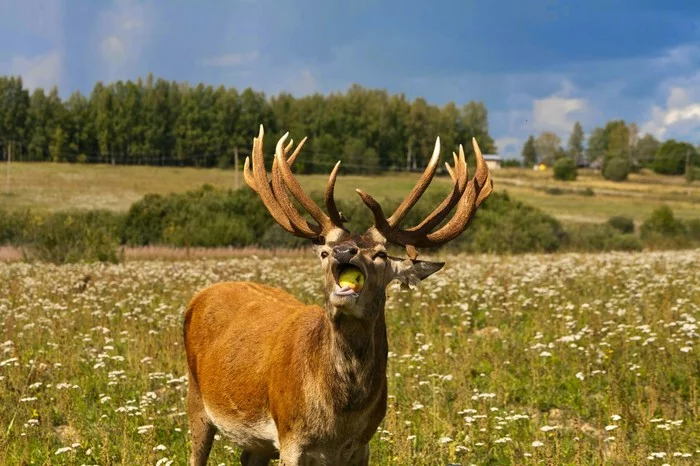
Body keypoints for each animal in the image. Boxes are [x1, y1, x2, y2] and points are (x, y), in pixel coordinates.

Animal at [183, 124, 494, 466]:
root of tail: (201, 295)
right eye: (325, 251)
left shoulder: (362, 445)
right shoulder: (290, 436)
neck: (340, 419)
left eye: (381, 254)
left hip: (256, 442)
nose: (344, 252)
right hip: (196, 399)